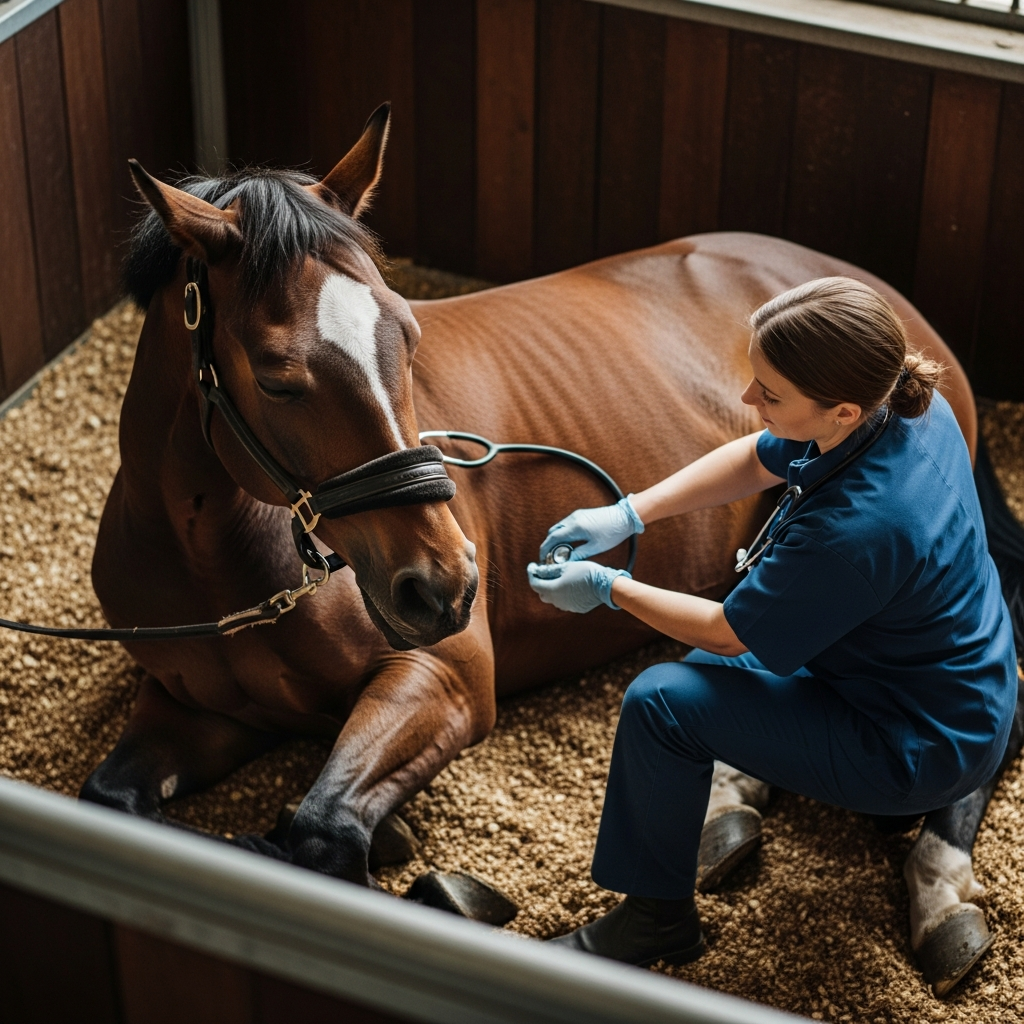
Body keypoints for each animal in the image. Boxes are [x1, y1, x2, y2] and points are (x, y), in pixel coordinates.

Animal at [81, 104, 1023, 998]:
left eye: (408, 336)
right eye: (277, 377)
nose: (444, 586)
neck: (215, 560)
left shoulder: (450, 680)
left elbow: (321, 832)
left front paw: (428, 878)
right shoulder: (193, 709)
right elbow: (108, 796)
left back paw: (940, 897)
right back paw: (728, 811)